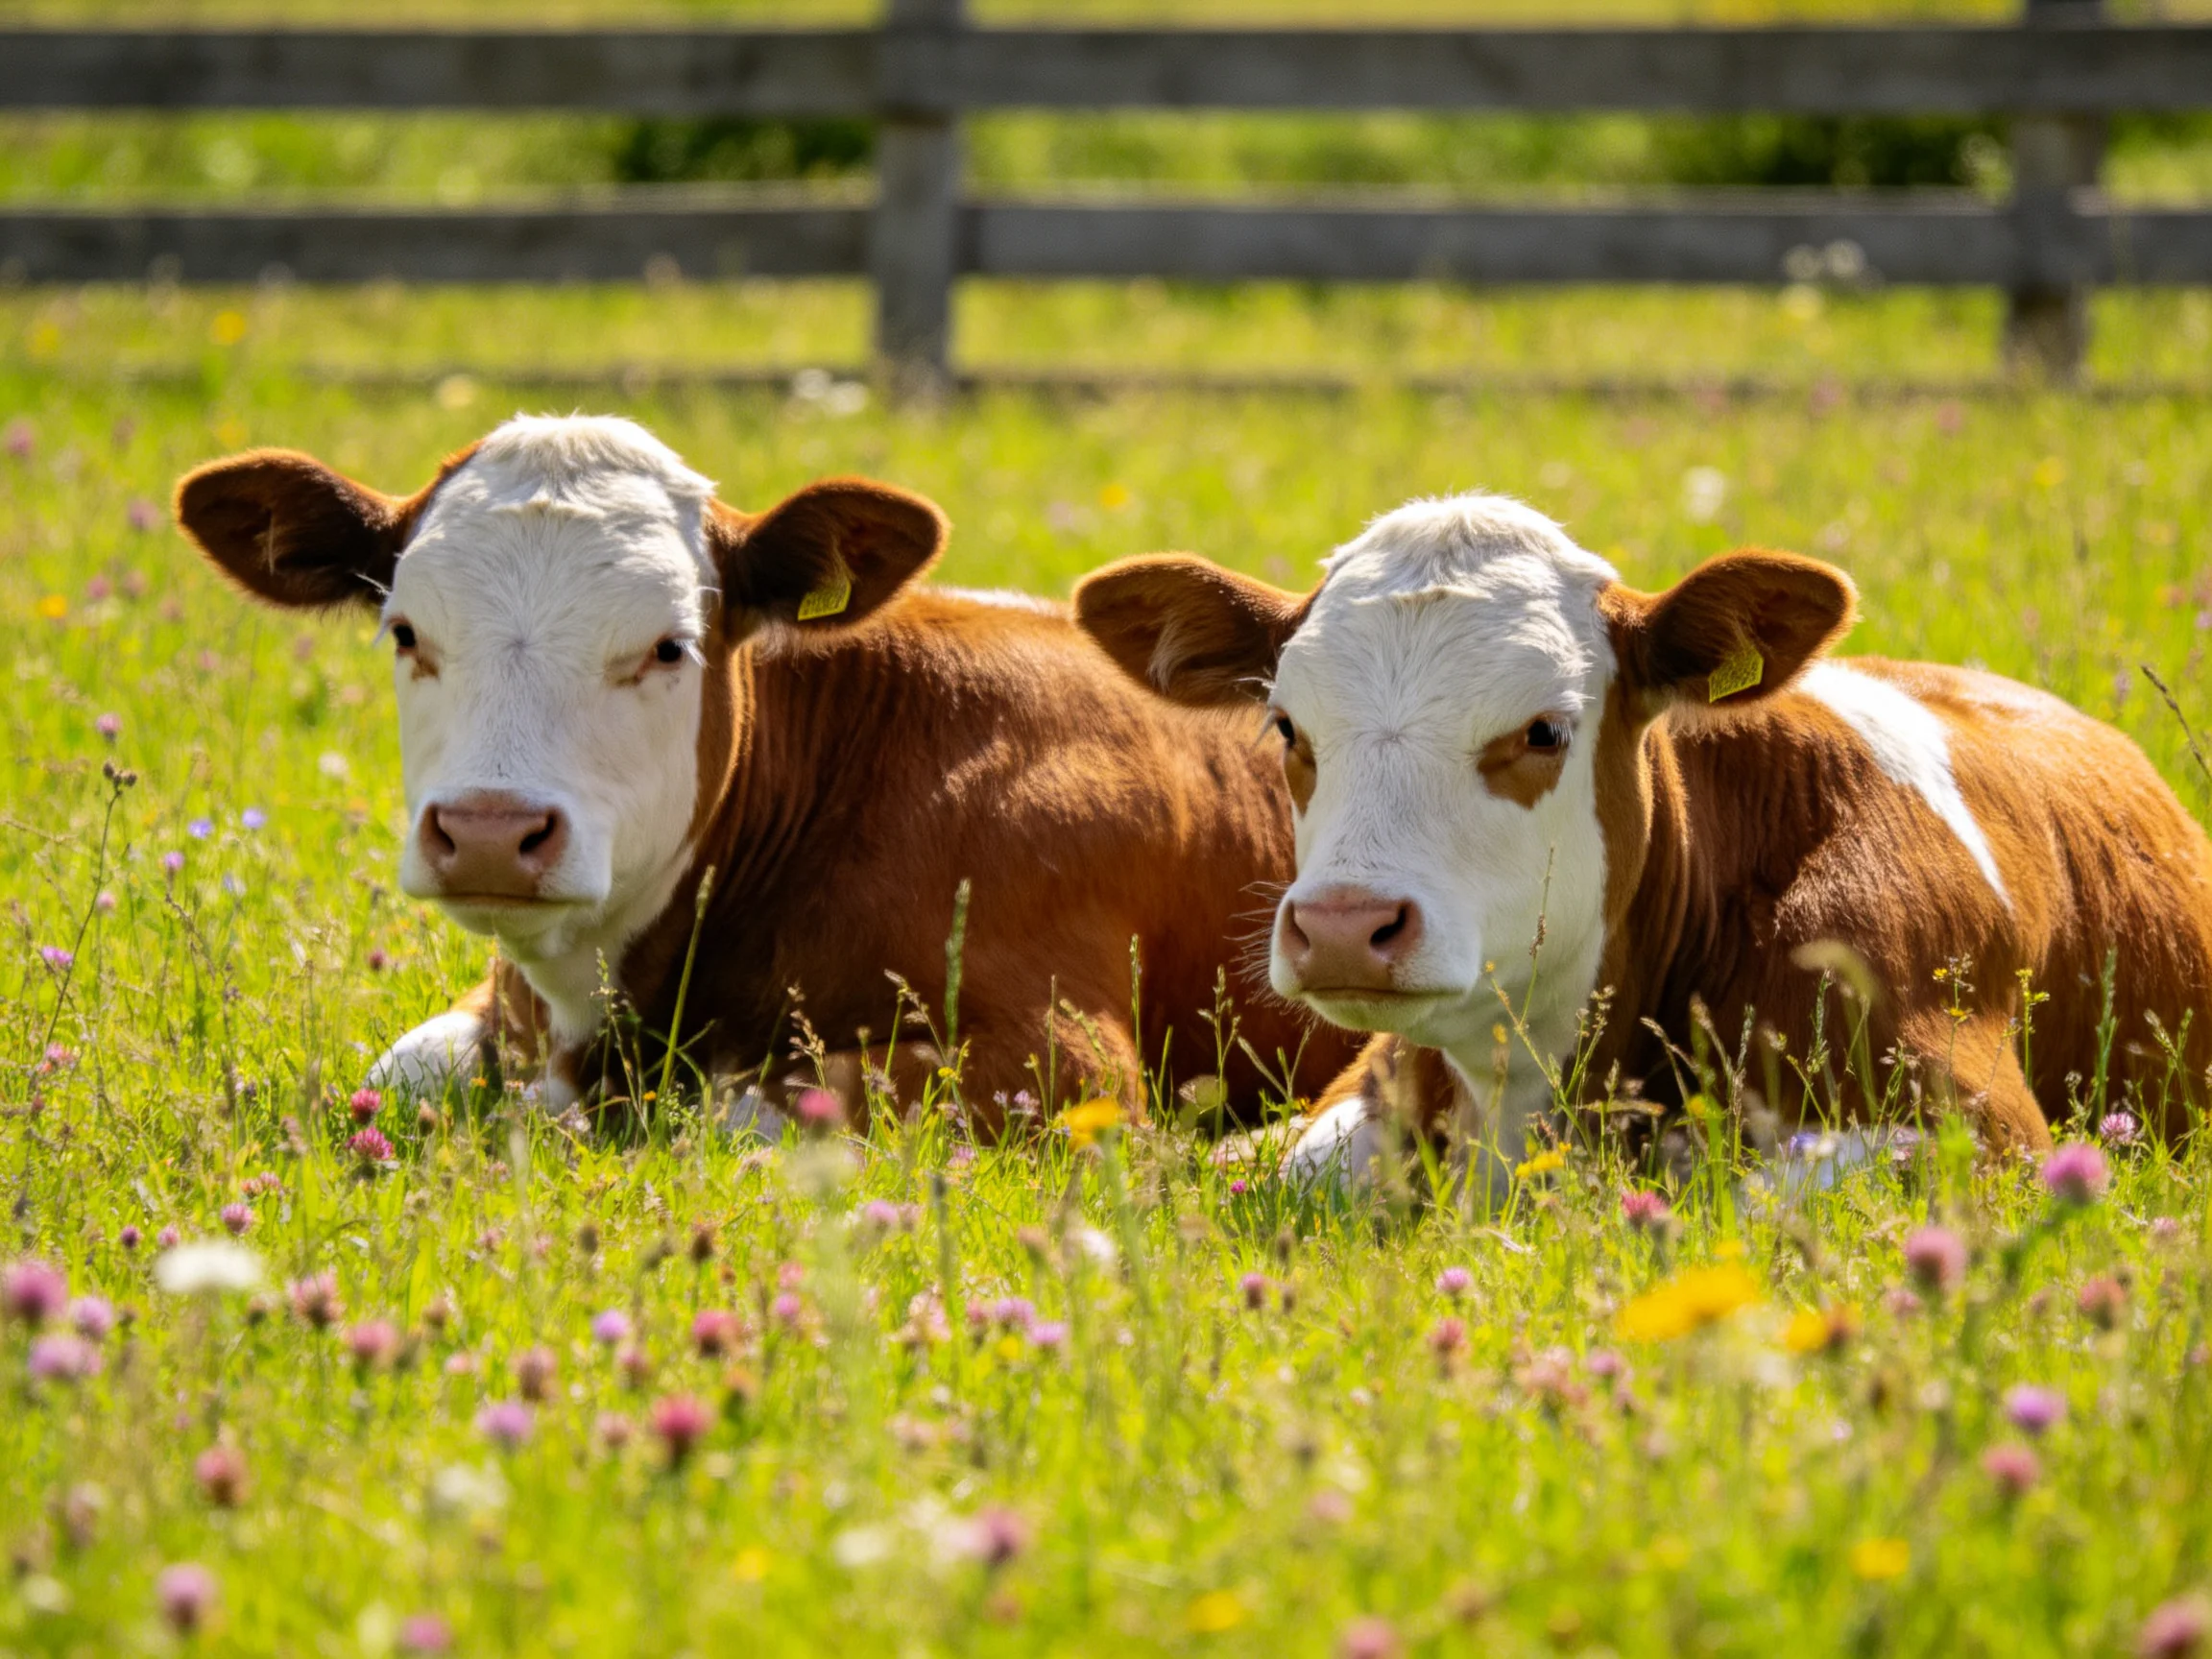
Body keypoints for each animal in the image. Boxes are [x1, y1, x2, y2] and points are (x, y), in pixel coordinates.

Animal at [172, 414, 1355, 1131]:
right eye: (406, 632)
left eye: (669, 647)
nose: (491, 833)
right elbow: (403, 1072)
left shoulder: (1063, 1063)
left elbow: (749, 1104)